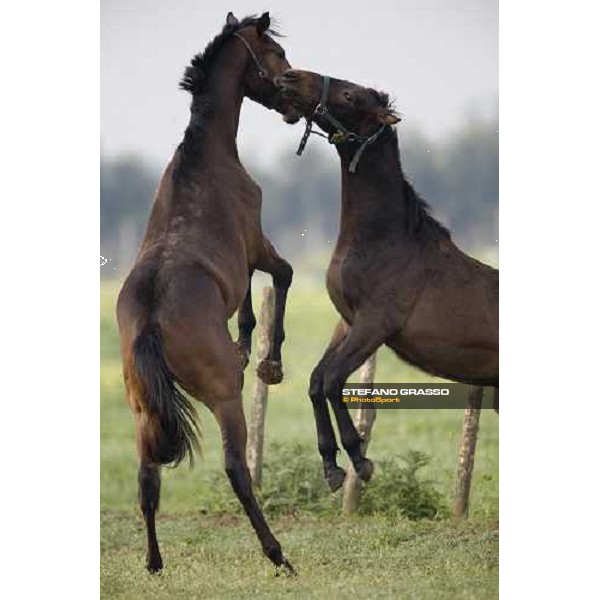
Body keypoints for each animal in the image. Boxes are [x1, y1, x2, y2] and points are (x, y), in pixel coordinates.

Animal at [116, 14, 296, 576]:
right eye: (277, 52)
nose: (290, 96)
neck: (206, 154)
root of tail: (151, 324)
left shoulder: (243, 265)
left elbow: (251, 302)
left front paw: (245, 343)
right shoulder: (257, 246)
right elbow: (281, 278)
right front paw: (266, 361)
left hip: (142, 410)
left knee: (147, 479)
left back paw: (154, 563)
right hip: (222, 398)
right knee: (238, 470)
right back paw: (278, 555)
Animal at [278, 70, 500, 492]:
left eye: (350, 95)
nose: (288, 77)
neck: (383, 241)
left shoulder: (374, 325)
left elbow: (332, 380)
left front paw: (359, 460)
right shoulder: (347, 323)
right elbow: (316, 381)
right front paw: (331, 468)